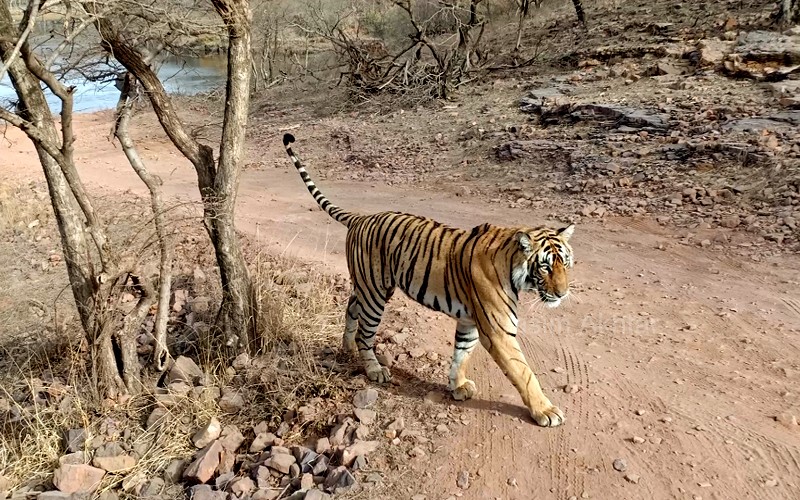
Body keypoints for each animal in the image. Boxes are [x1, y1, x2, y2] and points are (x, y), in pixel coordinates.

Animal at [282, 133, 575, 427]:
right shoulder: (498, 330)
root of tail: (361, 217)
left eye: (566, 263)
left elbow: (461, 354)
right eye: (545, 267)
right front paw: (546, 411)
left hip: (368, 285)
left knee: (351, 308)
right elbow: (524, 373)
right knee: (366, 331)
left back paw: (347, 348)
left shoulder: (469, 321)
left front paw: (458, 386)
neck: (512, 264)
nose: (562, 294)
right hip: (376, 292)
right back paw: (374, 369)